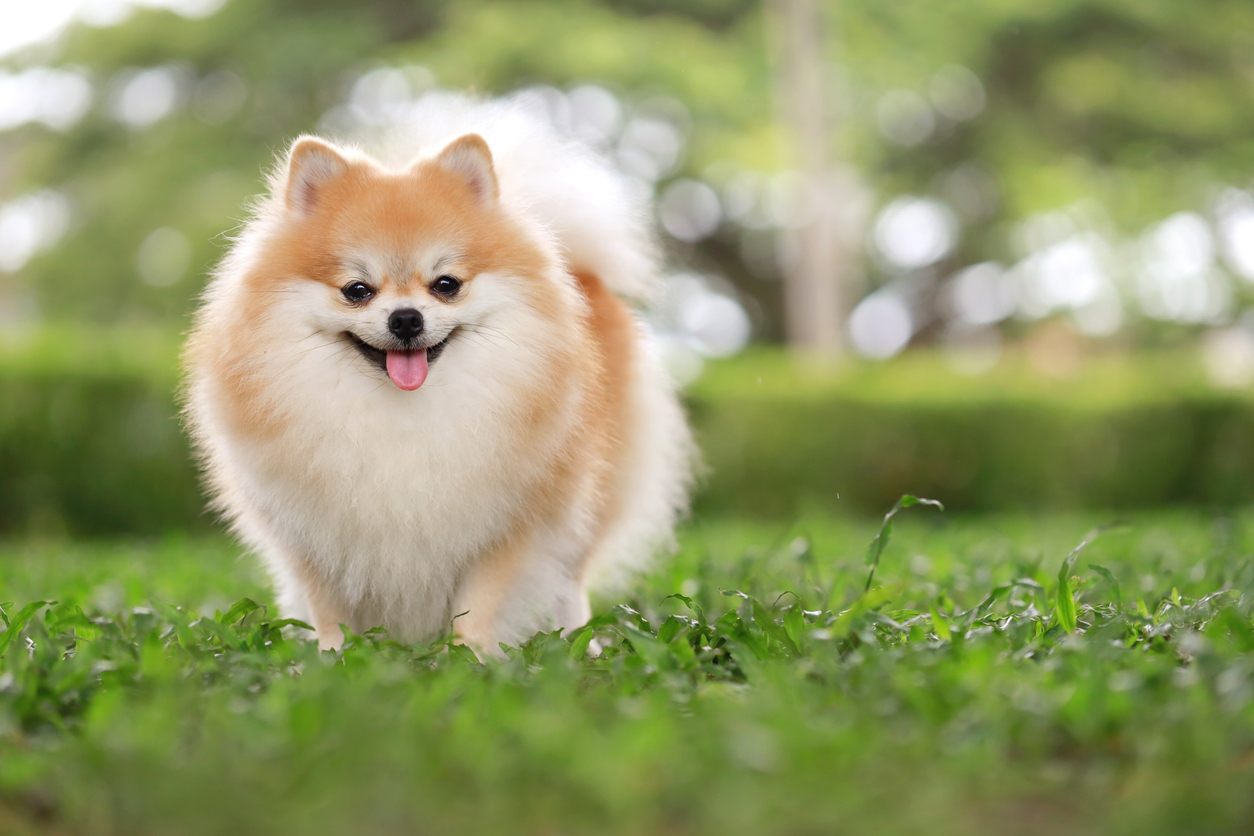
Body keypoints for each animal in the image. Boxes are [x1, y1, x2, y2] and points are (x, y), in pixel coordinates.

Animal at [185, 93, 697, 651]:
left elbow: (481, 603)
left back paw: (582, 642)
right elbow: (329, 611)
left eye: (446, 284)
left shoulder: (508, 524)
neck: (403, 415)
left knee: (571, 579)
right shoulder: (311, 534)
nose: (406, 318)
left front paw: (468, 656)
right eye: (357, 290)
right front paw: (331, 657)